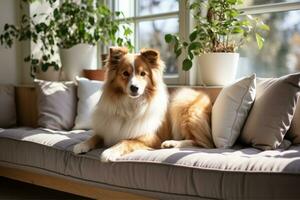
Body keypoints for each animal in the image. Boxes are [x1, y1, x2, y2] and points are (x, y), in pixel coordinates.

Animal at [72, 46, 213, 162]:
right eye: (125, 73)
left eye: (143, 74)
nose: (134, 88)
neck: (130, 104)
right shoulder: (107, 131)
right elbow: (94, 137)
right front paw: (81, 145)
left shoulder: (150, 138)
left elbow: (126, 141)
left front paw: (109, 152)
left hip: (181, 101)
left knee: (202, 143)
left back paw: (171, 143)